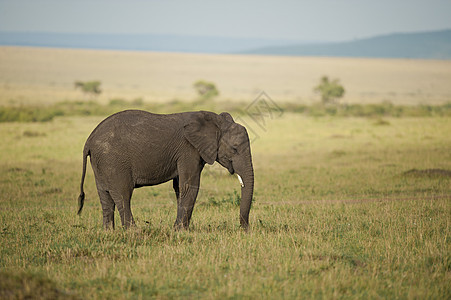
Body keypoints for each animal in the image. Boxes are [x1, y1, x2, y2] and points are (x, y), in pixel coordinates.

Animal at [77, 109, 254, 230]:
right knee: (122, 194)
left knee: (105, 196)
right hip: (113, 161)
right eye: (235, 149)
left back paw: (109, 231)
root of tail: (89, 140)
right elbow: (189, 186)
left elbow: (179, 187)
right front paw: (181, 230)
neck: (215, 121)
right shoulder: (189, 150)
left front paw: (179, 229)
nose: (244, 229)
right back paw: (134, 231)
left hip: (101, 163)